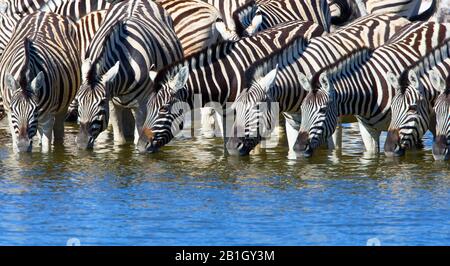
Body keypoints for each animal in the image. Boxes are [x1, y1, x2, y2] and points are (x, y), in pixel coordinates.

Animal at [0, 11, 80, 153]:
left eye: (35, 109)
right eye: (13, 109)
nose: (23, 145)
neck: (24, 77)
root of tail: (44, 12)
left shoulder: (47, 118)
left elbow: (46, 149)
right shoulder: (10, 116)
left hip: (62, 108)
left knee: (58, 133)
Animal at [75, 0, 183, 150]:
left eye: (101, 102)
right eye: (78, 101)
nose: (81, 143)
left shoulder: (142, 105)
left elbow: (138, 138)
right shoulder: (113, 103)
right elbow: (119, 140)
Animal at [135, 20, 326, 154]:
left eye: (164, 108)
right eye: (149, 106)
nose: (141, 147)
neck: (224, 79)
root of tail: (310, 23)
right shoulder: (224, 113)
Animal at [227, 14, 410, 156]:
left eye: (256, 109)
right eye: (236, 108)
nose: (231, 147)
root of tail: (396, 17)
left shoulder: (332, 119)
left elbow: (332, 152)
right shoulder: (293, 124)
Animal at [296, 21, 450, 158]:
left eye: (322, 110)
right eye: (302, 109)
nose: (298, 148)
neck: (369, 90)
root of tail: (432, 23)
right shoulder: (367, 130)